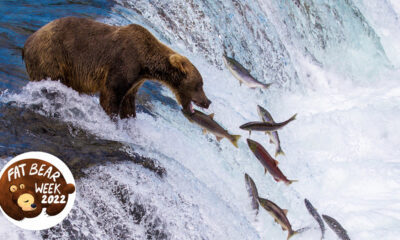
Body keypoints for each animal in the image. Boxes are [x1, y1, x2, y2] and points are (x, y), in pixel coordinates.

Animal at [22, 16, 211, 118]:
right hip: (52, 56)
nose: (208, 102)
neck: (145, 63)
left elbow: (128, 102)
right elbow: (111, 95)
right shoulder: (124, 62)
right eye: (200, 84)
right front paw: (112, 119)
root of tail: (28, 42)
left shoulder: (136, 79)